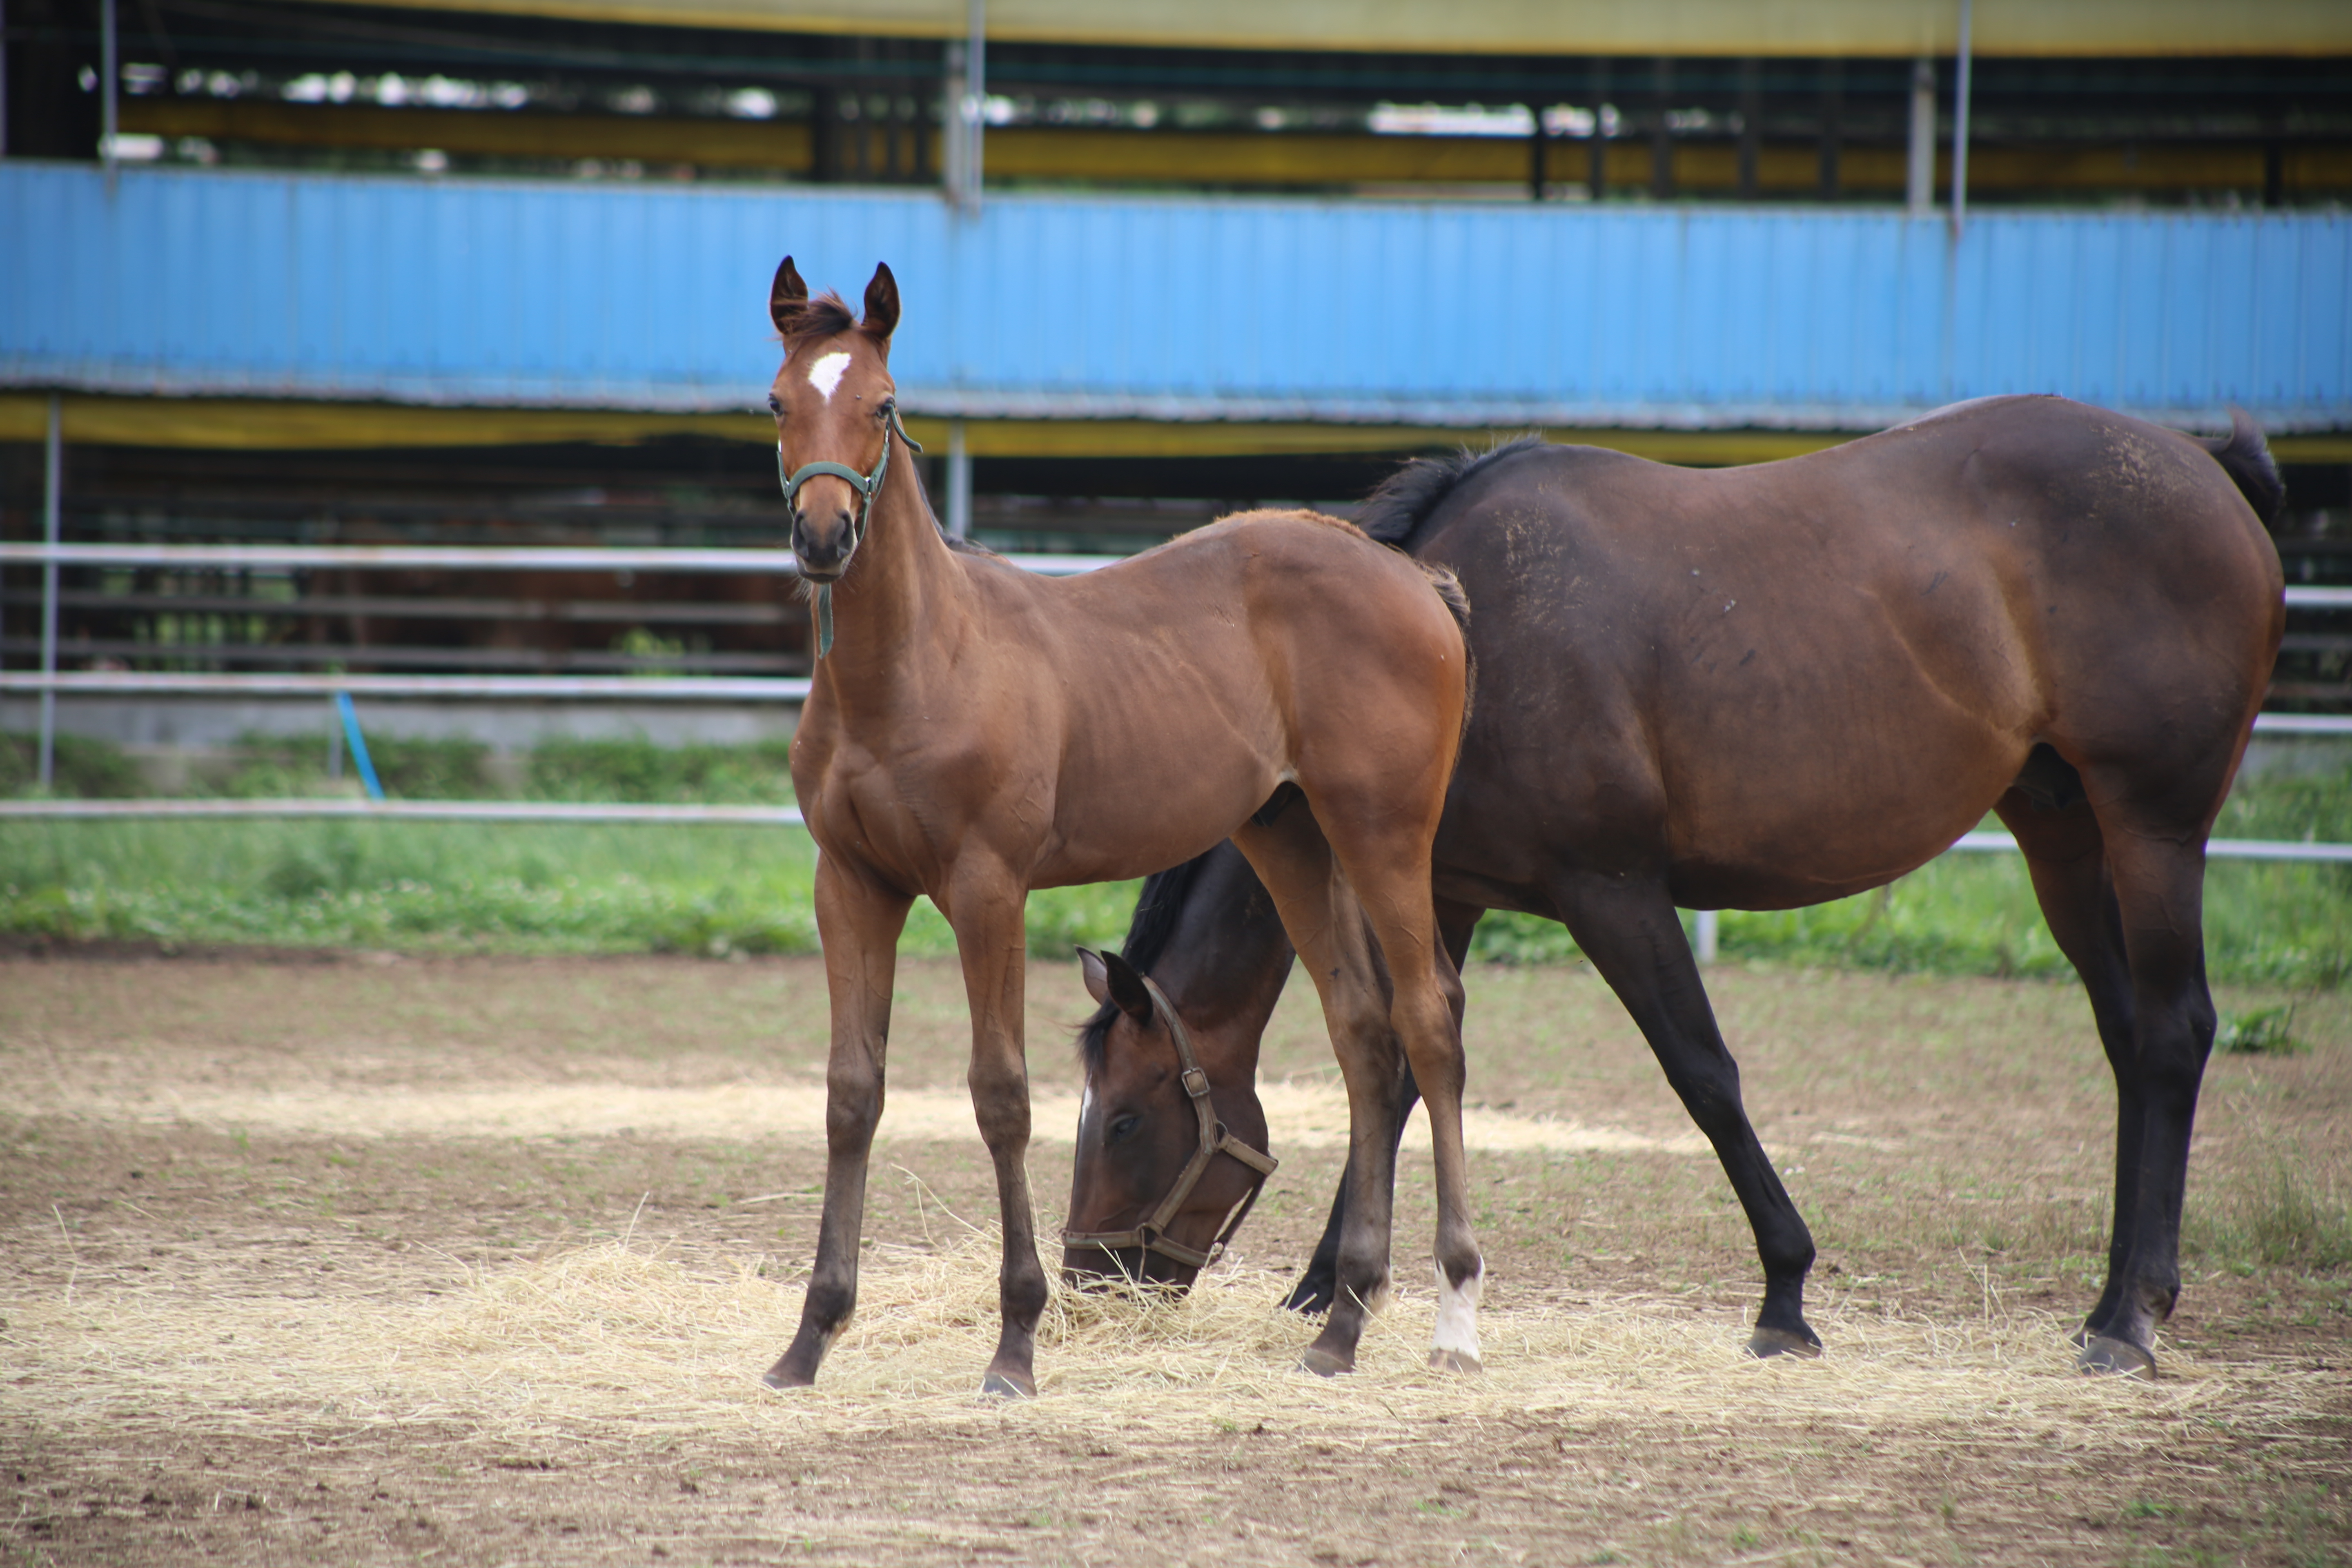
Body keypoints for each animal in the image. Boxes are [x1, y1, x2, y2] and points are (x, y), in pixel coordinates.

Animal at [762, 261, 1477, 1401]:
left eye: (880, 404)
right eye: (779, 404)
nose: (823, 538)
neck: (917, 663)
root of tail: (1413, 578)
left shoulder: (988, 888)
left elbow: (1000, 1094)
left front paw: (1014, 1345)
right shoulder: (851, 884)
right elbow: (850, 1092)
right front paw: (809, 1337)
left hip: (1384, 835)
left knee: (1428, 1020)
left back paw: (1455, 1313)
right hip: (1289, 839)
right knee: (1364, 1033)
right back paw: (1340, 1328)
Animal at [1063, 399, 2276, 1382]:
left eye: (1123, 1120)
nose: (1086, 1280)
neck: (1455, 626)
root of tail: (2205, 465)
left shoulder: (1612, 891)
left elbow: (1702, 1075)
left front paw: (1784, 1292)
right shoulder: (1444, 887)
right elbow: (1403, 1071)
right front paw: (1331, 1286)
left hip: (2153, 827)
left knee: (2172, 1031)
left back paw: (2130, 1319)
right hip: (2060, 829)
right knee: (2125, 1039)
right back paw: (2109, 1300)